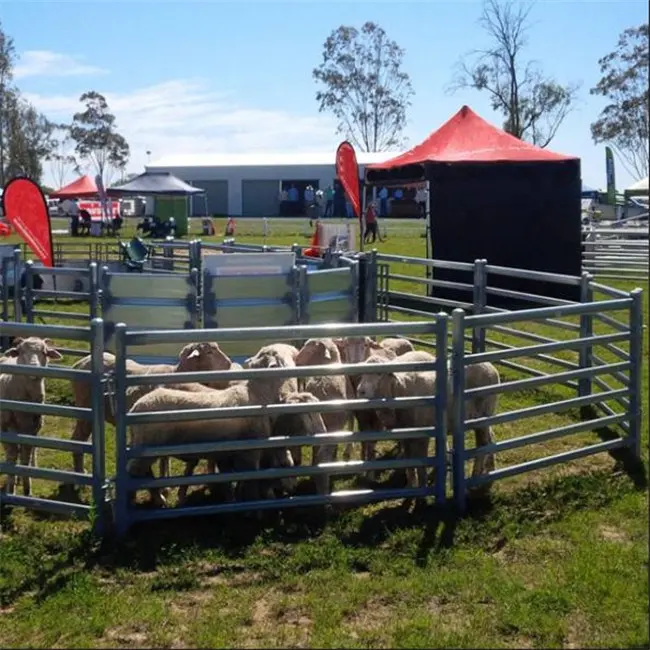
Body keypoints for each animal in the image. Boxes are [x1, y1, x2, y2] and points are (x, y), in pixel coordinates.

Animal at [0, 336, 62, 494]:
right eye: (21, 352)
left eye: (44, 352)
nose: (34, 366)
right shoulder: (6, 429)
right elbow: (12, 456)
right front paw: (11, 488)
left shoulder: (31, 429)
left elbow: (25, 457)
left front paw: (27, 488)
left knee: (32, 450)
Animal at [68, 342, 234, 474]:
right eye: (209, 352)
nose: (229, 363)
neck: (177, 373)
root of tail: (81, 361)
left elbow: (165, 456)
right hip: (85, 410)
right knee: (77, 439)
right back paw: (80, 471)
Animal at [126, 350, 288, 506]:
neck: (258, 394)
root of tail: (135, 407)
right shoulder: (250, 452)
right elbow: (249, 482)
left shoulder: (227, 454)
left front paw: (231, 498)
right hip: (148, 443)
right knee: (134, 471)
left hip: (141, 442)